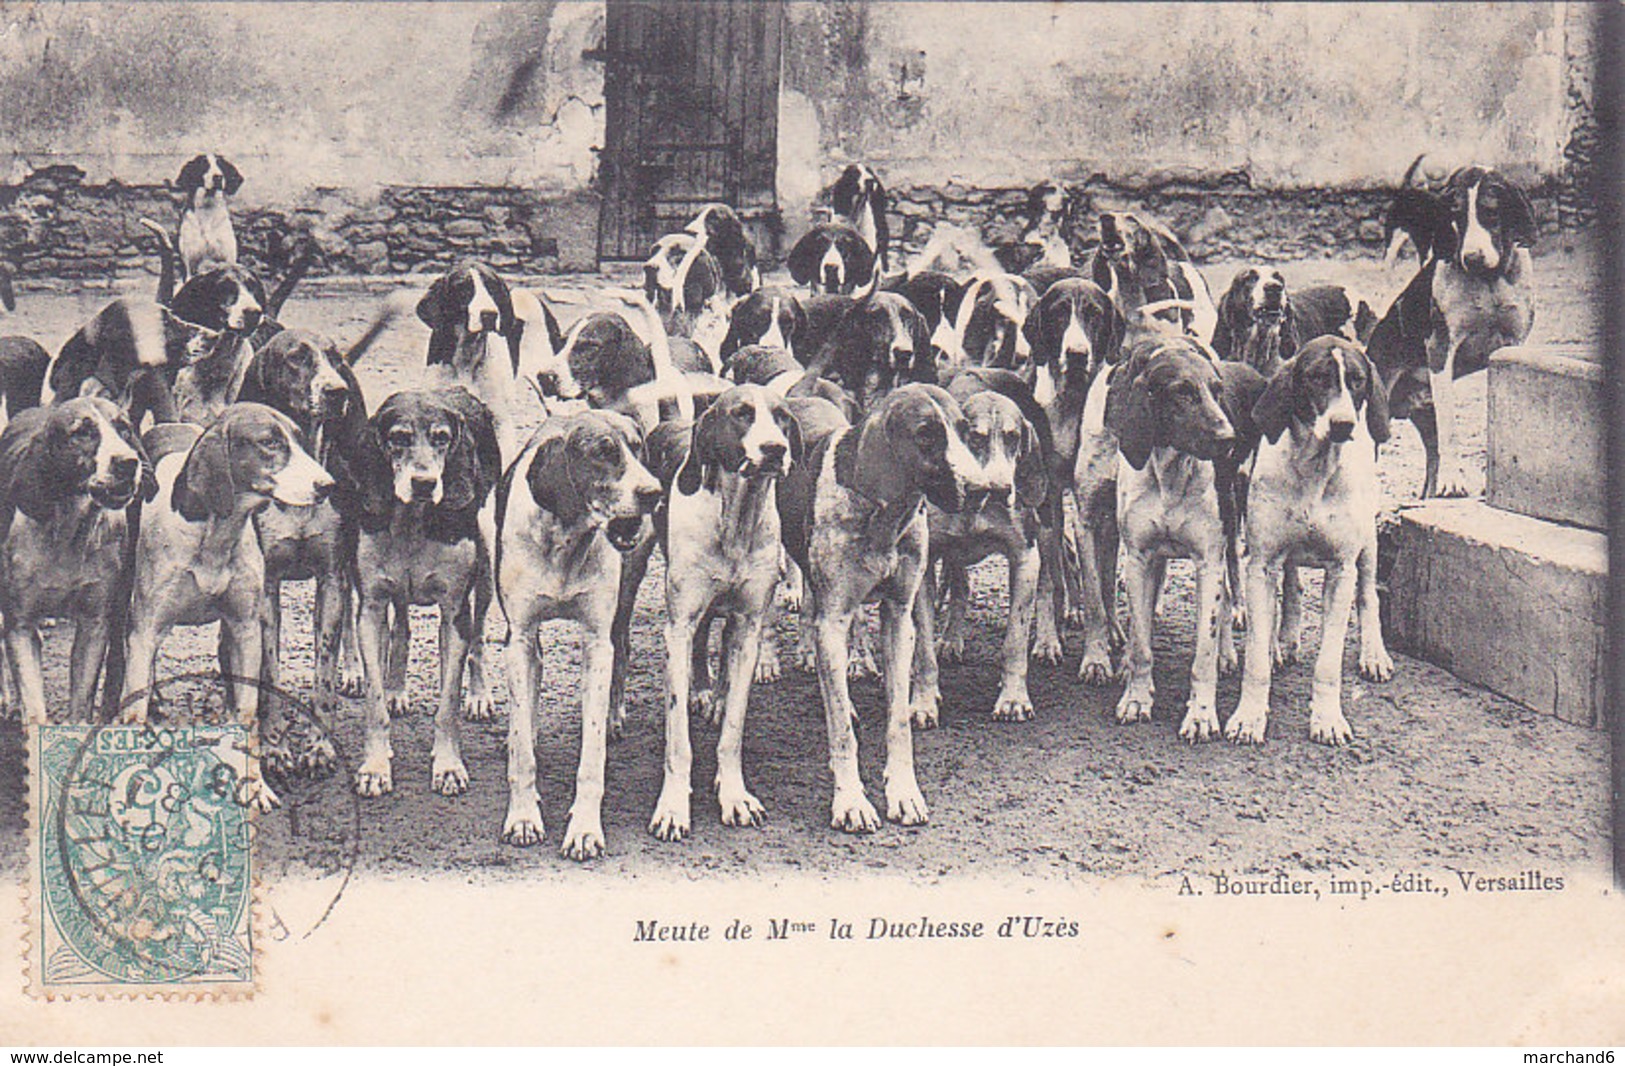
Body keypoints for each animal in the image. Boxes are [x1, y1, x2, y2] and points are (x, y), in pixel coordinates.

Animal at [500, 407, 666, 858]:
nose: (654, 492)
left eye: (638, 447)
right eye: (603, 452)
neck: (565, 542)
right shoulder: (519, 636)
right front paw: (523, 816)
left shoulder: (596, 638)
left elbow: (591, 755)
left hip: (626, 592)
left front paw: (585, 828)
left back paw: (613, 714)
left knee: (622, 645)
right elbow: (522, 749)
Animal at [1228, 338, 1397, 744]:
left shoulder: (1340, 571)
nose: (1343, 424)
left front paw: (1328, 719)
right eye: (1317, 378)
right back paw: (1284, 639)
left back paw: (1373, 653)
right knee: (1290, 587)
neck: (1314, 469)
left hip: (1368, 543)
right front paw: (1250, 716)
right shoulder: (1262, 564)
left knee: (1368, 596)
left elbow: (1329, 662)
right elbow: (1256, 657)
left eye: (1357, 379)